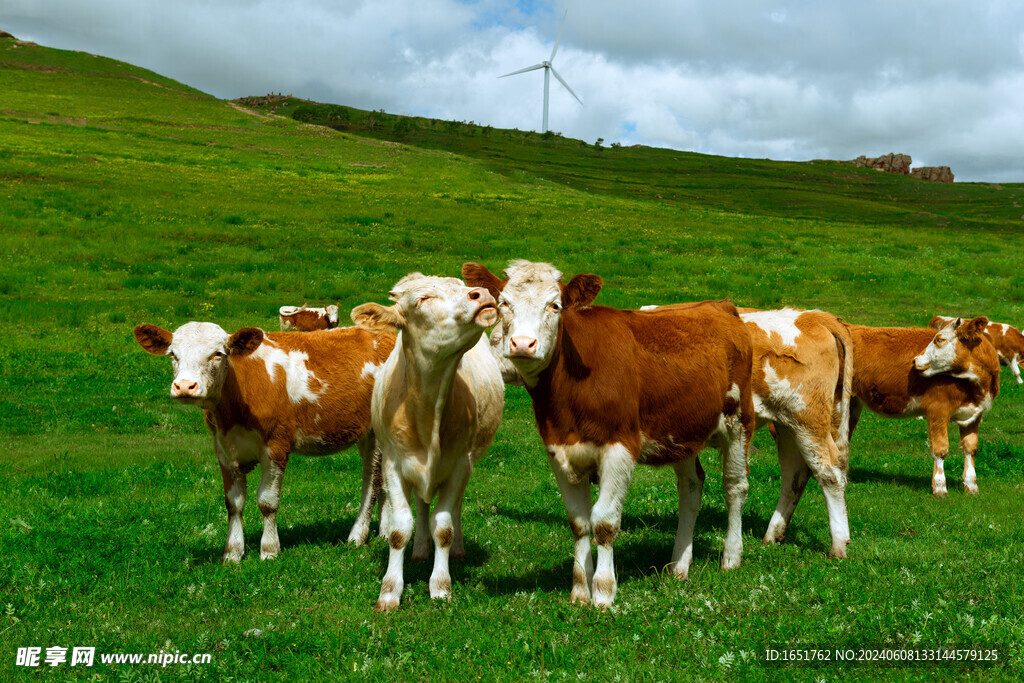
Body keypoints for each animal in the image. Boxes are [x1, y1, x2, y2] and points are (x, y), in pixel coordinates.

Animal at [133, 323, 395, 565]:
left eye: (218, 354)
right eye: (173, 354)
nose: (185, 386)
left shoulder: (276, 445)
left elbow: (267, 501)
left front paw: (269, 550)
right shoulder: (223, 449)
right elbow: (233, 503)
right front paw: (233, 553)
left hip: (376, 432)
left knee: (371, 482)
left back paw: (357, 536)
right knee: (382, 482)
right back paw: (384, 531)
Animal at [352, 274, 503, 610]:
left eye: (461, 286)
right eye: (422, 300)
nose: (481, 293)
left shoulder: (460, 464)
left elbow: (443, 526)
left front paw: (441, 586)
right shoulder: (393, 464)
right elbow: (399, 529)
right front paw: (390, 591)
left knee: (451, 508)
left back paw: (455, 550)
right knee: (421, 507)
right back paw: (420, 550)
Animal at [464, 260, 753, 610]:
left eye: (555, 306)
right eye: (504, 303)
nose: (522, 344)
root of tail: (720, 305)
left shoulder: (619, 448)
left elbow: (603, 522)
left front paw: (603, 592)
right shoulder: (558, 451)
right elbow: (579, 523)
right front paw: (579, 591)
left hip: (739, 419)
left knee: (735, 486)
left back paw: (731, 556)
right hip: (682, 431)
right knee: (691, 487)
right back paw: (679, 565)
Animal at [847, 317, 999, 499]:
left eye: (939, 339)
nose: (915, 360)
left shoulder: (974, 415)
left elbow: (970, 448)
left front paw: (971, 485)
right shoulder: (937, 408)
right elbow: (940, 449)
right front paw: (940, 488)